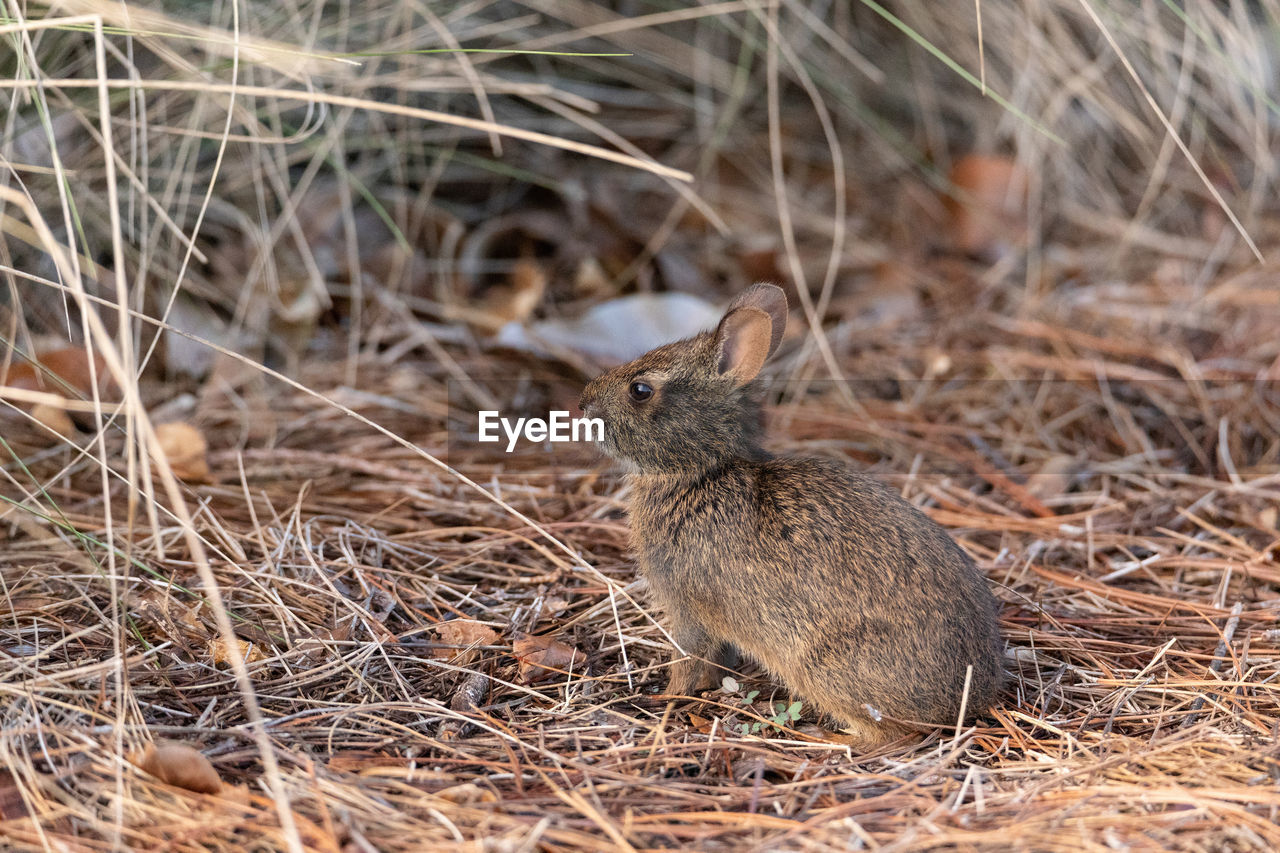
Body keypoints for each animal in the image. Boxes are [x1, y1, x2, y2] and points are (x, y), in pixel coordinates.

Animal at [576, 284, 1003, 742]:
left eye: (640, 390)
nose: (583, 403)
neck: (702, 471)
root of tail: (972, 699)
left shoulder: (687, 605)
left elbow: (689, 658)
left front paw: (665, 697)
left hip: (826, 667)